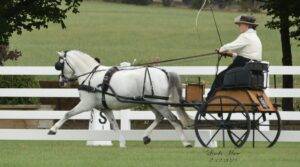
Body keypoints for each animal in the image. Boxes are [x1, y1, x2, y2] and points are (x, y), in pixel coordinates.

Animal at [48, 50, 195, 147]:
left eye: (59, 65)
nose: (61, 82)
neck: (91, 75)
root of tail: (164, 72)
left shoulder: (86, 104)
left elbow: (67, 114)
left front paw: (53, 130)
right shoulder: (105, 108)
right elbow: (114, 124)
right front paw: (122, 143)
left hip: (159, 103)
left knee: (174, 119)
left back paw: (186, 142)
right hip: (152, 103)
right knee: (159, 117)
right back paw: (145, 136)